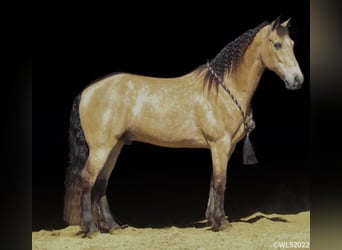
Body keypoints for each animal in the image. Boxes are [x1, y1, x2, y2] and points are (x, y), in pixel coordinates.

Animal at [64, 17, 304, 236]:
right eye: (277, 44)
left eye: (292, 44)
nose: (297, 80)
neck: (222, 89)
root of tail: (86, 91)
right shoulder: (219, 145)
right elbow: (220, 182)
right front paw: (221, 223)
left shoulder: (225, 148)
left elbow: (213, 182)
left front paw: (213, 220)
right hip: (101, 148)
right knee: (87, 180)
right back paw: (91, 228)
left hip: (115, 146)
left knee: (101, 183)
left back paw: (112, 226)